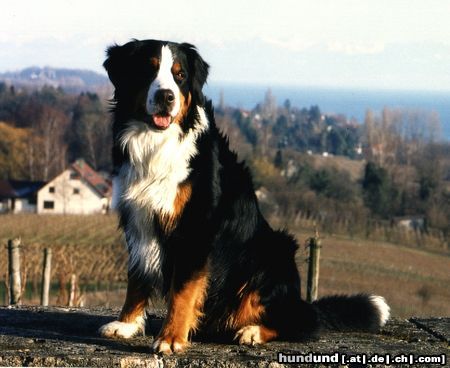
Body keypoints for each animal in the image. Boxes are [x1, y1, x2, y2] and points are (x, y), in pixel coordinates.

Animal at [99, 39, 390, 354]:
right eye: (148, 69)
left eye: (180, 76)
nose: (166, 96)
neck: (156, 144)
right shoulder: (138, 218)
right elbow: (137, 278)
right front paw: (127, 323)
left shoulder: (195, 229)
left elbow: (183, 290)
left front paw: (171, 338)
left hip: (272, 255)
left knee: (301, 322)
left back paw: (252, 331)